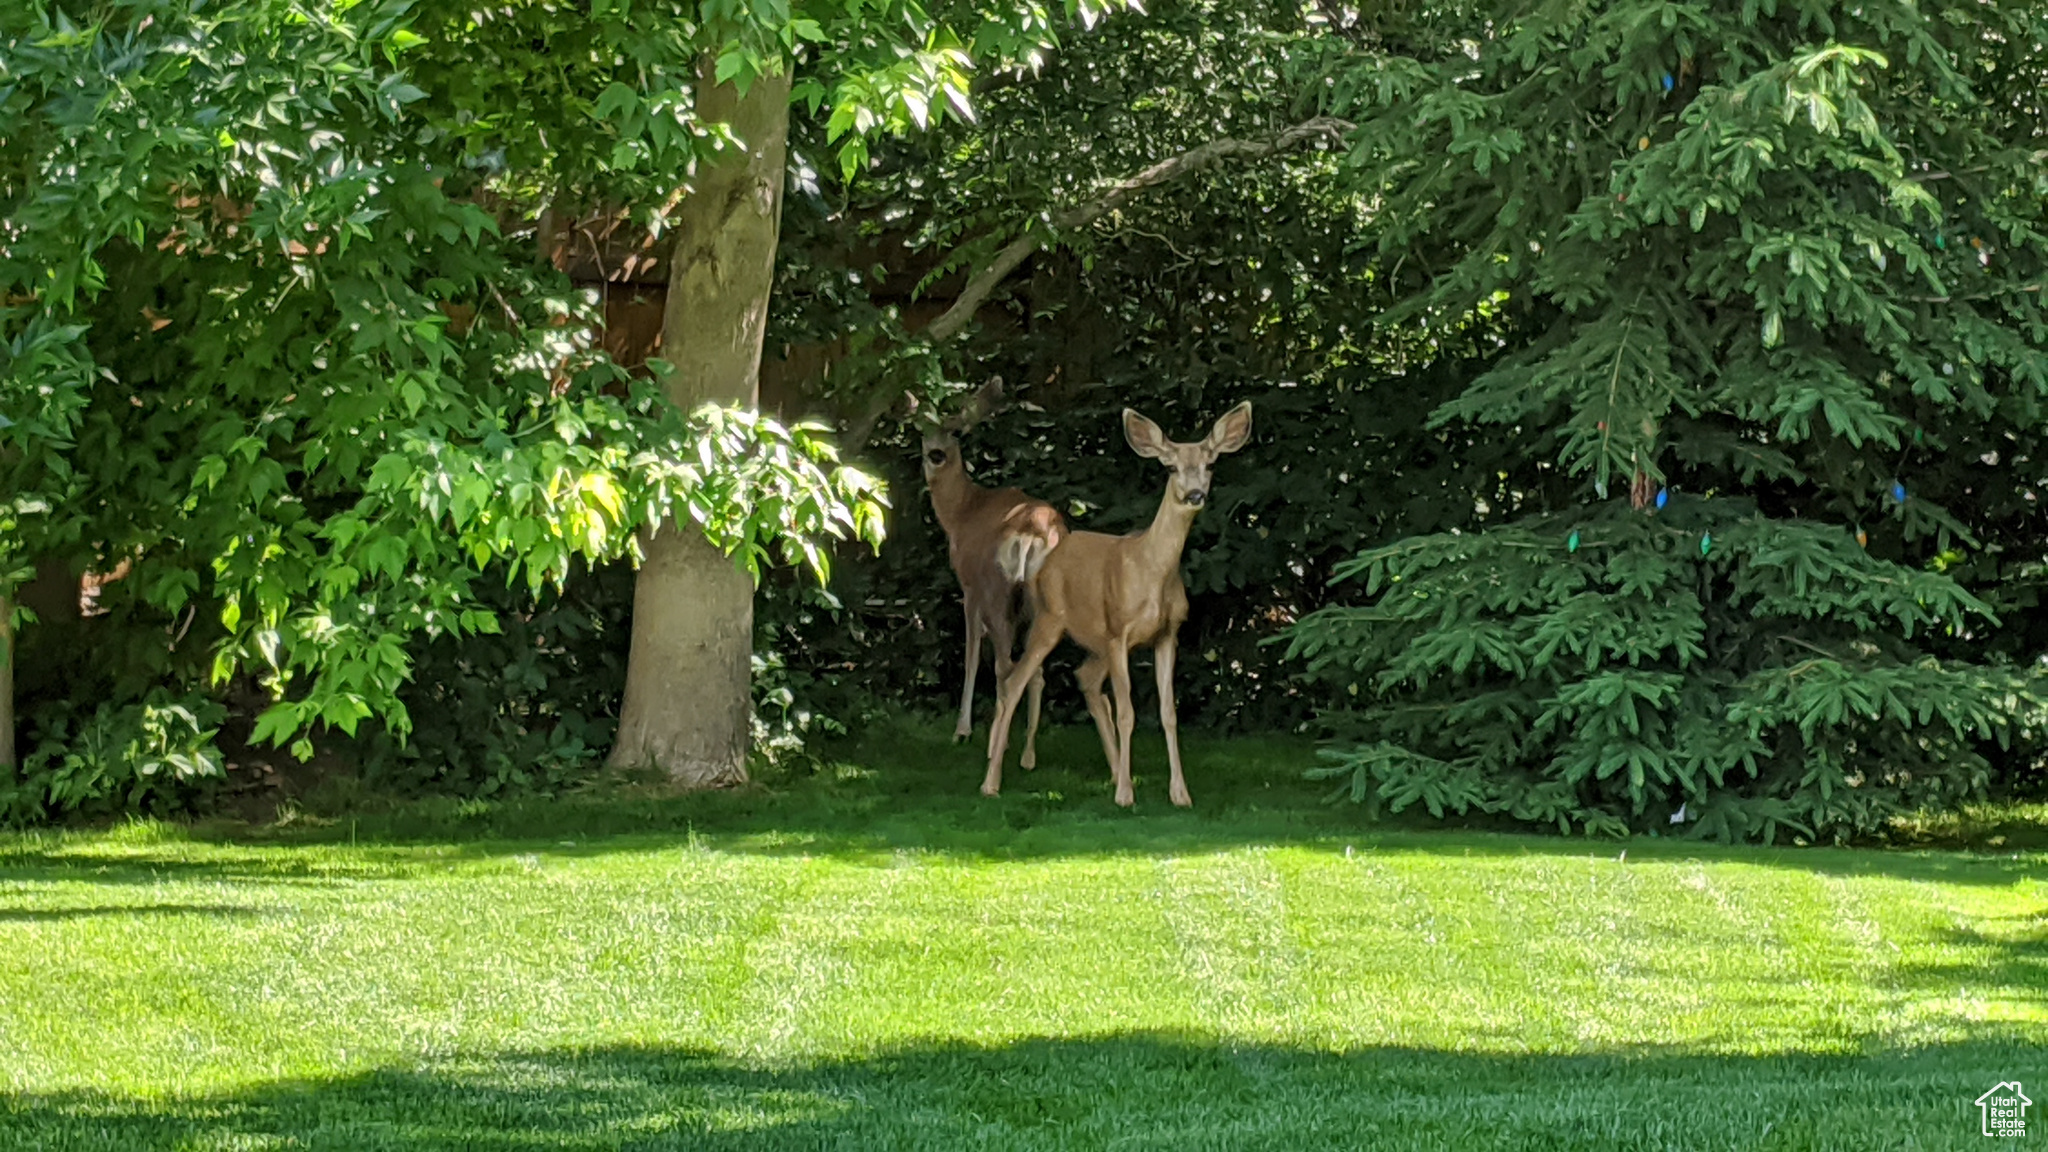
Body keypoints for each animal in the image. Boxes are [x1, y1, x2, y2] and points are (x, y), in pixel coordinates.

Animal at [917, 375, 1064, 762]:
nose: (935, 454)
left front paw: (962, 729)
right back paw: (1027, 752)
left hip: (1000, 588)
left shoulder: (969, 585)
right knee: (1033, 668)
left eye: (956, 432)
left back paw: (1001, 743)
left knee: (1006, 664)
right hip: (1046, 598)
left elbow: (971, 653)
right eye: (922, 430)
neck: (961, 514)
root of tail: (1034, 532)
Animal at [978, 399, 1245, 803]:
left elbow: (1168, 714)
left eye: (1210, 464)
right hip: (1051, 618)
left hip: (1096, 640)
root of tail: (1049, 554)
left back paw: (1118, 771)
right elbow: (1127, 712)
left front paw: (1179, 794)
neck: (1152, 571)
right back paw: (991, 781)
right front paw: (1125, 796)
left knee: (1086, 680)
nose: (1195, 495)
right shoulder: (1120, 630)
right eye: (1170, 467)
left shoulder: (1167, 634)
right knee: (1015, 682)